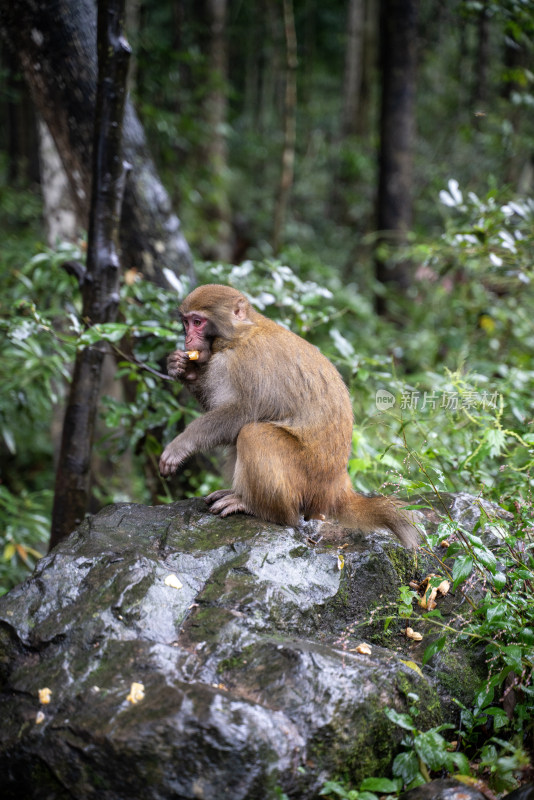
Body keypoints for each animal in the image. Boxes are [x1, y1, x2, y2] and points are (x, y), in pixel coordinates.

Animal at [159, 282, 422, 552]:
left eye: (198, 322)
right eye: (186, 322)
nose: (187, 338)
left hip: (306, 480)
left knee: (254, 433)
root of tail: (336, 489)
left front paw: (181, 445)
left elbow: (240, 413)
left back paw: (259, 508)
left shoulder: (247, 362)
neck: (239, 336)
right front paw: (182, 369)